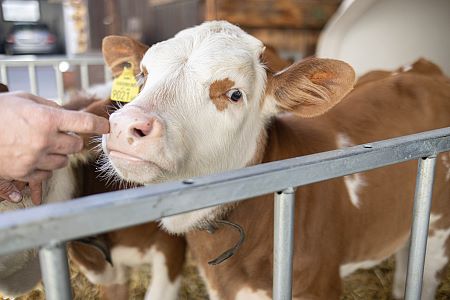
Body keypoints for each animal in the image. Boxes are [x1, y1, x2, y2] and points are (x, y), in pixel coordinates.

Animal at [100, 21, 450, 300]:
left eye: (234, 94)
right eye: (143, 75)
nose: (125, 124)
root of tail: (422, 68)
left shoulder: (319, 285)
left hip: (437, 229)